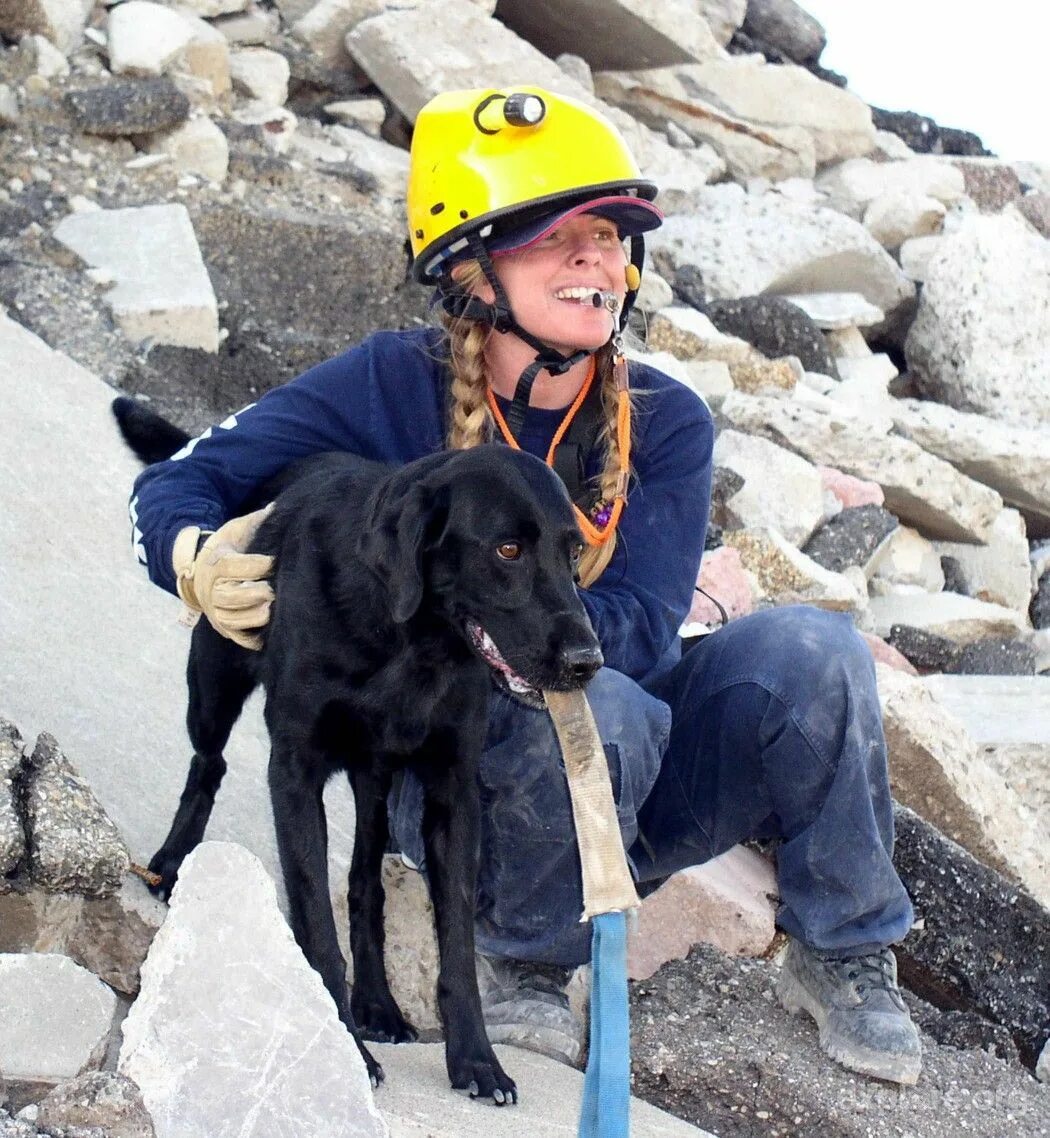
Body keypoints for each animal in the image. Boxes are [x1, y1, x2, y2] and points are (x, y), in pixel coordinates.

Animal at [110, 398, 605, 1101]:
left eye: (572, 553)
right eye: (507, 549)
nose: (587, 662)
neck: (410, 644)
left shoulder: (452, 791)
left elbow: (454, 942)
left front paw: (476, 1059)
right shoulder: (294, 770)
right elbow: (316, 921)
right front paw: (342, 1046)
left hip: (376, 779)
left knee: (365, 880)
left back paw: (378, 1002)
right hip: (212, 680)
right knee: (209, 764)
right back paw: (173, 862)